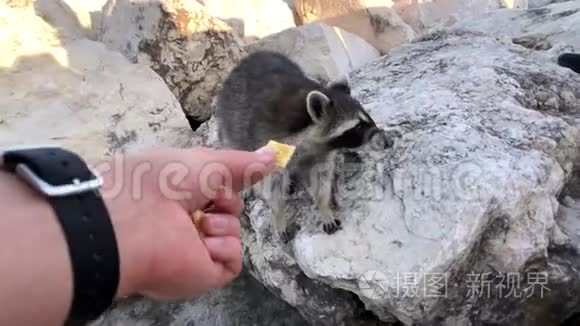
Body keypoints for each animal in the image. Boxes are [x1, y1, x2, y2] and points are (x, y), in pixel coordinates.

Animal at [215, 50, 392, 239]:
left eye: (367, 117)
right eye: (357, 127)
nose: (381, 135)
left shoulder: (320, 155)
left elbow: (320, 180)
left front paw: (324, 208)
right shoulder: (269, 141)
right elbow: (271, 185)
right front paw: (278, 213)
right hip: (230, 124)